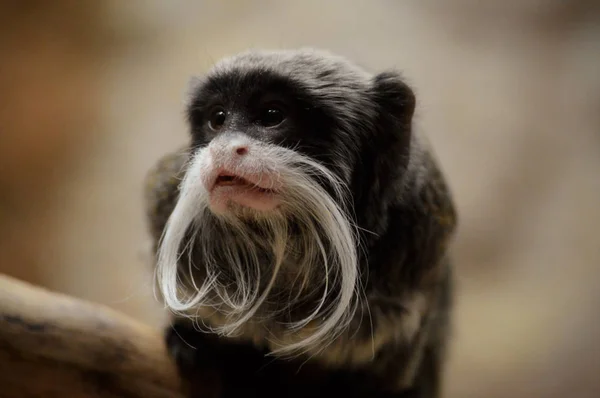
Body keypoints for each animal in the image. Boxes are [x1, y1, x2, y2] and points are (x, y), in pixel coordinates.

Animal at [143, 47, 458, 398]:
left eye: (271, 115)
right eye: (218, 119)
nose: (224, 148)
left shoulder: (424, 227)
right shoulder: (165, 192)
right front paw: (197, 342)